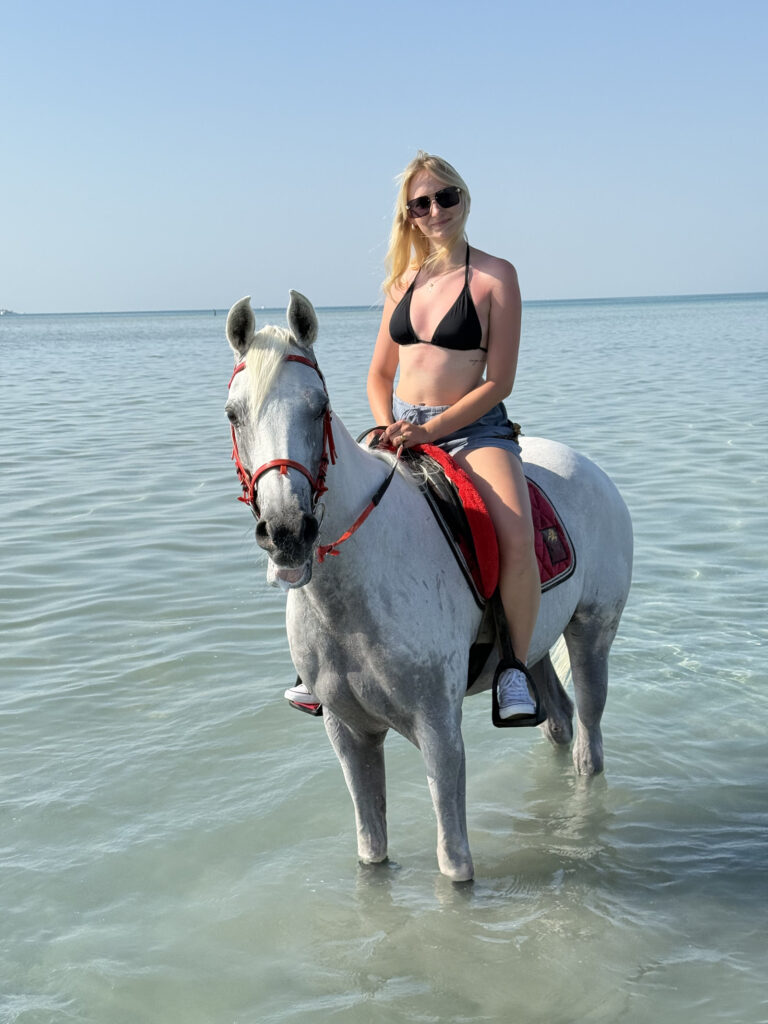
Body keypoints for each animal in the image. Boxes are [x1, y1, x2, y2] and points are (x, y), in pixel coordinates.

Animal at [223, 291, 633, 882]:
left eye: (319, 406)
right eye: (234, 414)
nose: (286, 532)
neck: (356, 589)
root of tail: (590, 467)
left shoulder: (439, 730)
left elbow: (453, 863)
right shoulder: (348, 734)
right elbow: (371, 849)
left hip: (592, 634)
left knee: (589, 742)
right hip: (532, 650)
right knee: (557, 721)